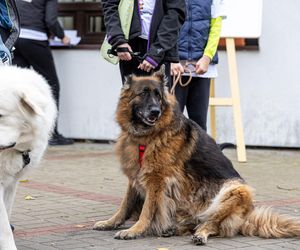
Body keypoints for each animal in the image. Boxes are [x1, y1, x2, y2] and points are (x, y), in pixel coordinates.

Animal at [95, 67, 300, 246]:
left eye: (158, 95)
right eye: (143, 93)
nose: (155, 111)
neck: (147, 137)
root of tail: (247, 217)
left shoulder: (156, 180)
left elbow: (147, 210)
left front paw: (135, 230)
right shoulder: (136, 176)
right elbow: (125, 205)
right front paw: (110, 223)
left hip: (235, 190)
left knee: (211, 224)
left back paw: (199, 235)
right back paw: (172, 229)